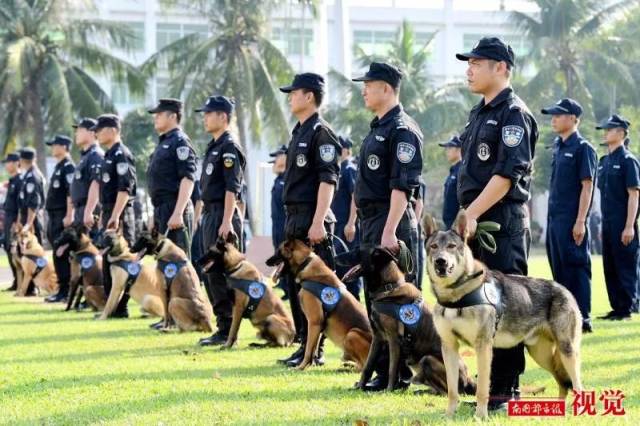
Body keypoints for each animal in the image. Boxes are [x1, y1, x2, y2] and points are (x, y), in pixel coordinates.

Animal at [266, 241, 372, 372]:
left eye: (278, 251)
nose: (266, 261)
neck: (305, 262)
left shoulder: (314, 322)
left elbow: (308, 350)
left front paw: (300, 367)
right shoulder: (318, 326)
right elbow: (313, 349)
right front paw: (309, 365)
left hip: (352, 334)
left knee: (363, 367)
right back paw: (348, 365)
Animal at [344, 246, 476, 392]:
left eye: (358, 250)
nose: (336, 256)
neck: (389, 287)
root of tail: (468, 380)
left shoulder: (393, 340)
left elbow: (392, 369)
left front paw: (389, 390)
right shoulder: (377, 338)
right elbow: (368, 366)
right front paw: (360, 387)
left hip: (427, 359)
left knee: (447, 391)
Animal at [422, 211, 584, 418]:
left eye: (451, 246)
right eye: (434, 247)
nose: (440, 261)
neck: (456, 295)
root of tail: (565, 289)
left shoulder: (483, 347)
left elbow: (482, 388)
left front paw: (480, 416)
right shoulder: (449, 347)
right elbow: (452, 390)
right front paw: (449, 416)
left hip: (567, 352)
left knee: (577, 385)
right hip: (542, 356)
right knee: (562, 383)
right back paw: (557, 409)